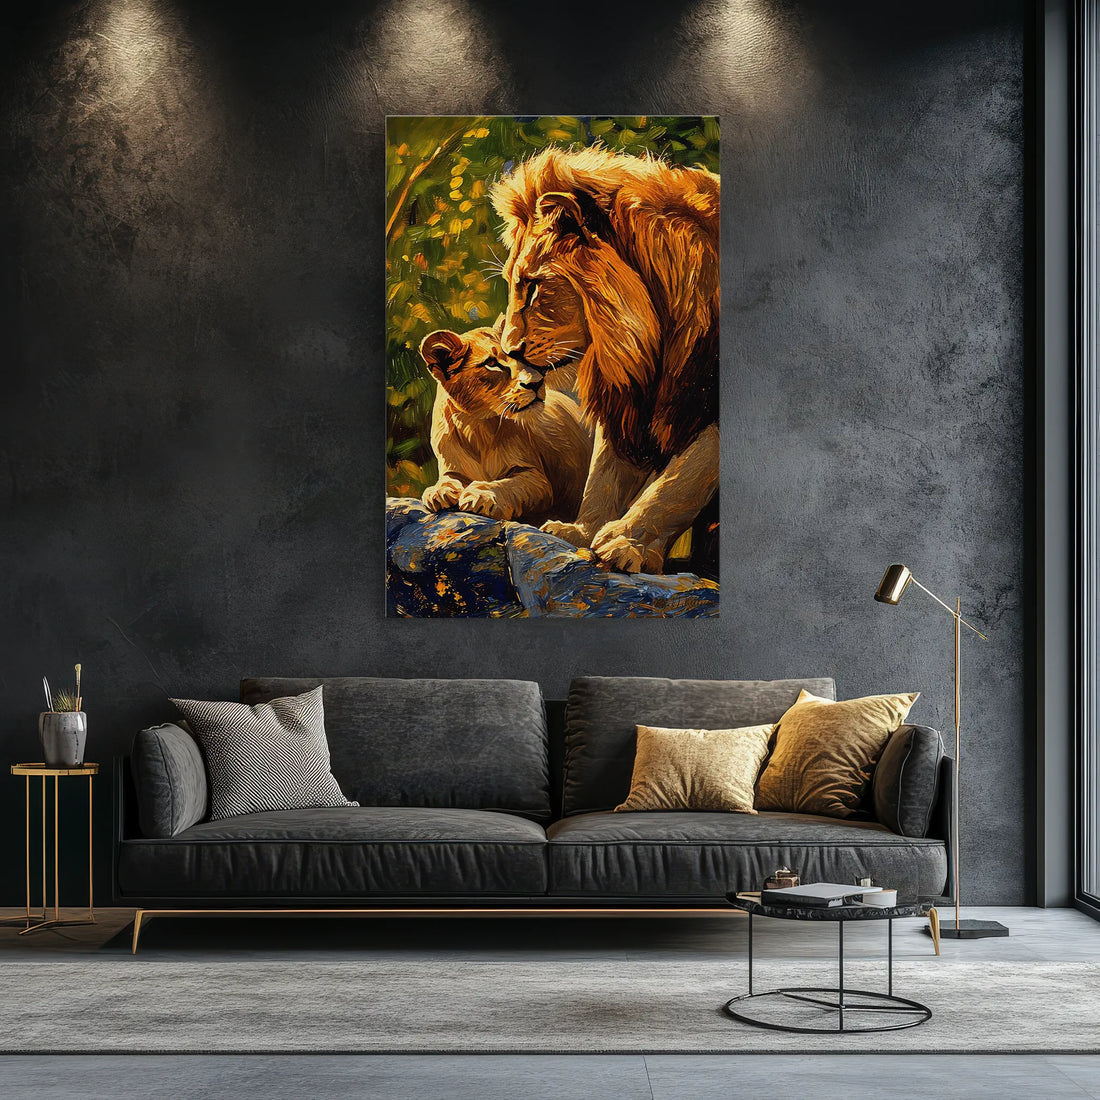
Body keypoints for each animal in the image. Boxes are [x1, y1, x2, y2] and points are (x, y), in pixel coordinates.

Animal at [418, 323, 593, 526]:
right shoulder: (452, 468)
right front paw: (439, 491)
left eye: (524, 358)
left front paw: (482, 494)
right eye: (492, 364)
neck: (477, 428)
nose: (536, 383)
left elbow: (509, 484)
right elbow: (447, 479)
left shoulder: (536, 478)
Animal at [489, 145, 720, 575]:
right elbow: (604, 474)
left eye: (533, 286)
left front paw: (627, 543)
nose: (509, 350)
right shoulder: (628, 398)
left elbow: (679, 482)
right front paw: (581, 531)